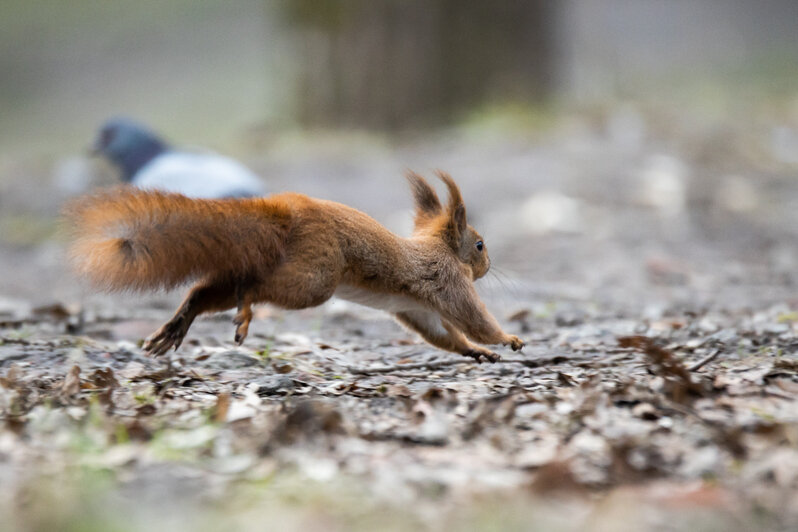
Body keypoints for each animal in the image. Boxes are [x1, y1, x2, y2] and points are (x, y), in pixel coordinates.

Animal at [67, 172, 524, 364]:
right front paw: (507, 339)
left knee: (206, 291)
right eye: (479, 245)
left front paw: (478, 351)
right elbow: (474, 318)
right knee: (256, 286)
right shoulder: (448, 283)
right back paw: (245, 312)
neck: (436, 248)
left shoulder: (415, 308)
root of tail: (289, 210)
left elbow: (444, 336)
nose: (489, 264)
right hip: (315, 279)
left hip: (266, 264)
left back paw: (176, 327)